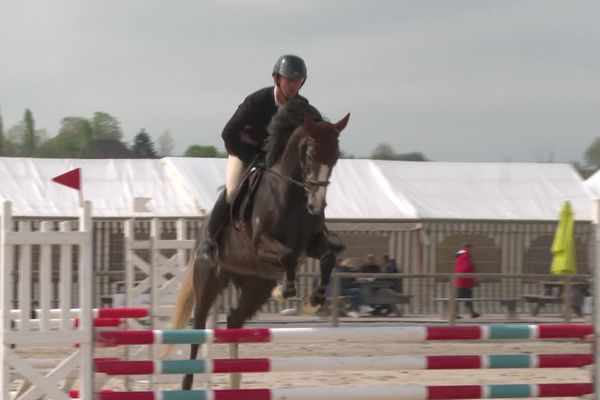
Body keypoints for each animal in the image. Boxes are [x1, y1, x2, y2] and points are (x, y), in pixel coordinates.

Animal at [166, 100, 350, 390]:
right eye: (310, 153)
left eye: (336, 156)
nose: (316, 205)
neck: (292, 195)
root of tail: (198, 237)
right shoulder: (261, 243)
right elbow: (288, 256)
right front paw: (285, 291)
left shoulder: (312, 243)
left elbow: (328, 258)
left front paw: (314, 300)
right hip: (209, 281)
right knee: (198, 328)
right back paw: (187, 382)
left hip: (255, 286)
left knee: (234, 320)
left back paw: (234, 380)